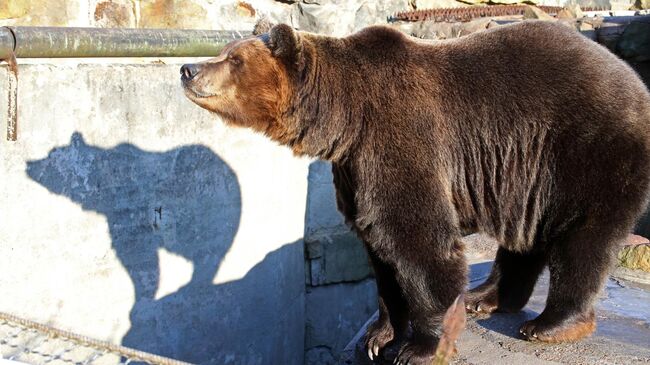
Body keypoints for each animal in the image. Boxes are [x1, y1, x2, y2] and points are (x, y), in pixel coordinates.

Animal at [178, 20, 648, 364]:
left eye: (233, 57)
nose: (187, 69)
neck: (346, 117)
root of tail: (636, 83)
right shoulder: (355, 170)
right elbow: (379, 249)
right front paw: (378, 335)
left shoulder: (398, 137)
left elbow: (417, 240)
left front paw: (420, 346)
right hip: (527, 174)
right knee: (525, 235)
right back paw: (485, 298)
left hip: (585, 149)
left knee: (582, 239)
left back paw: (551, 324)